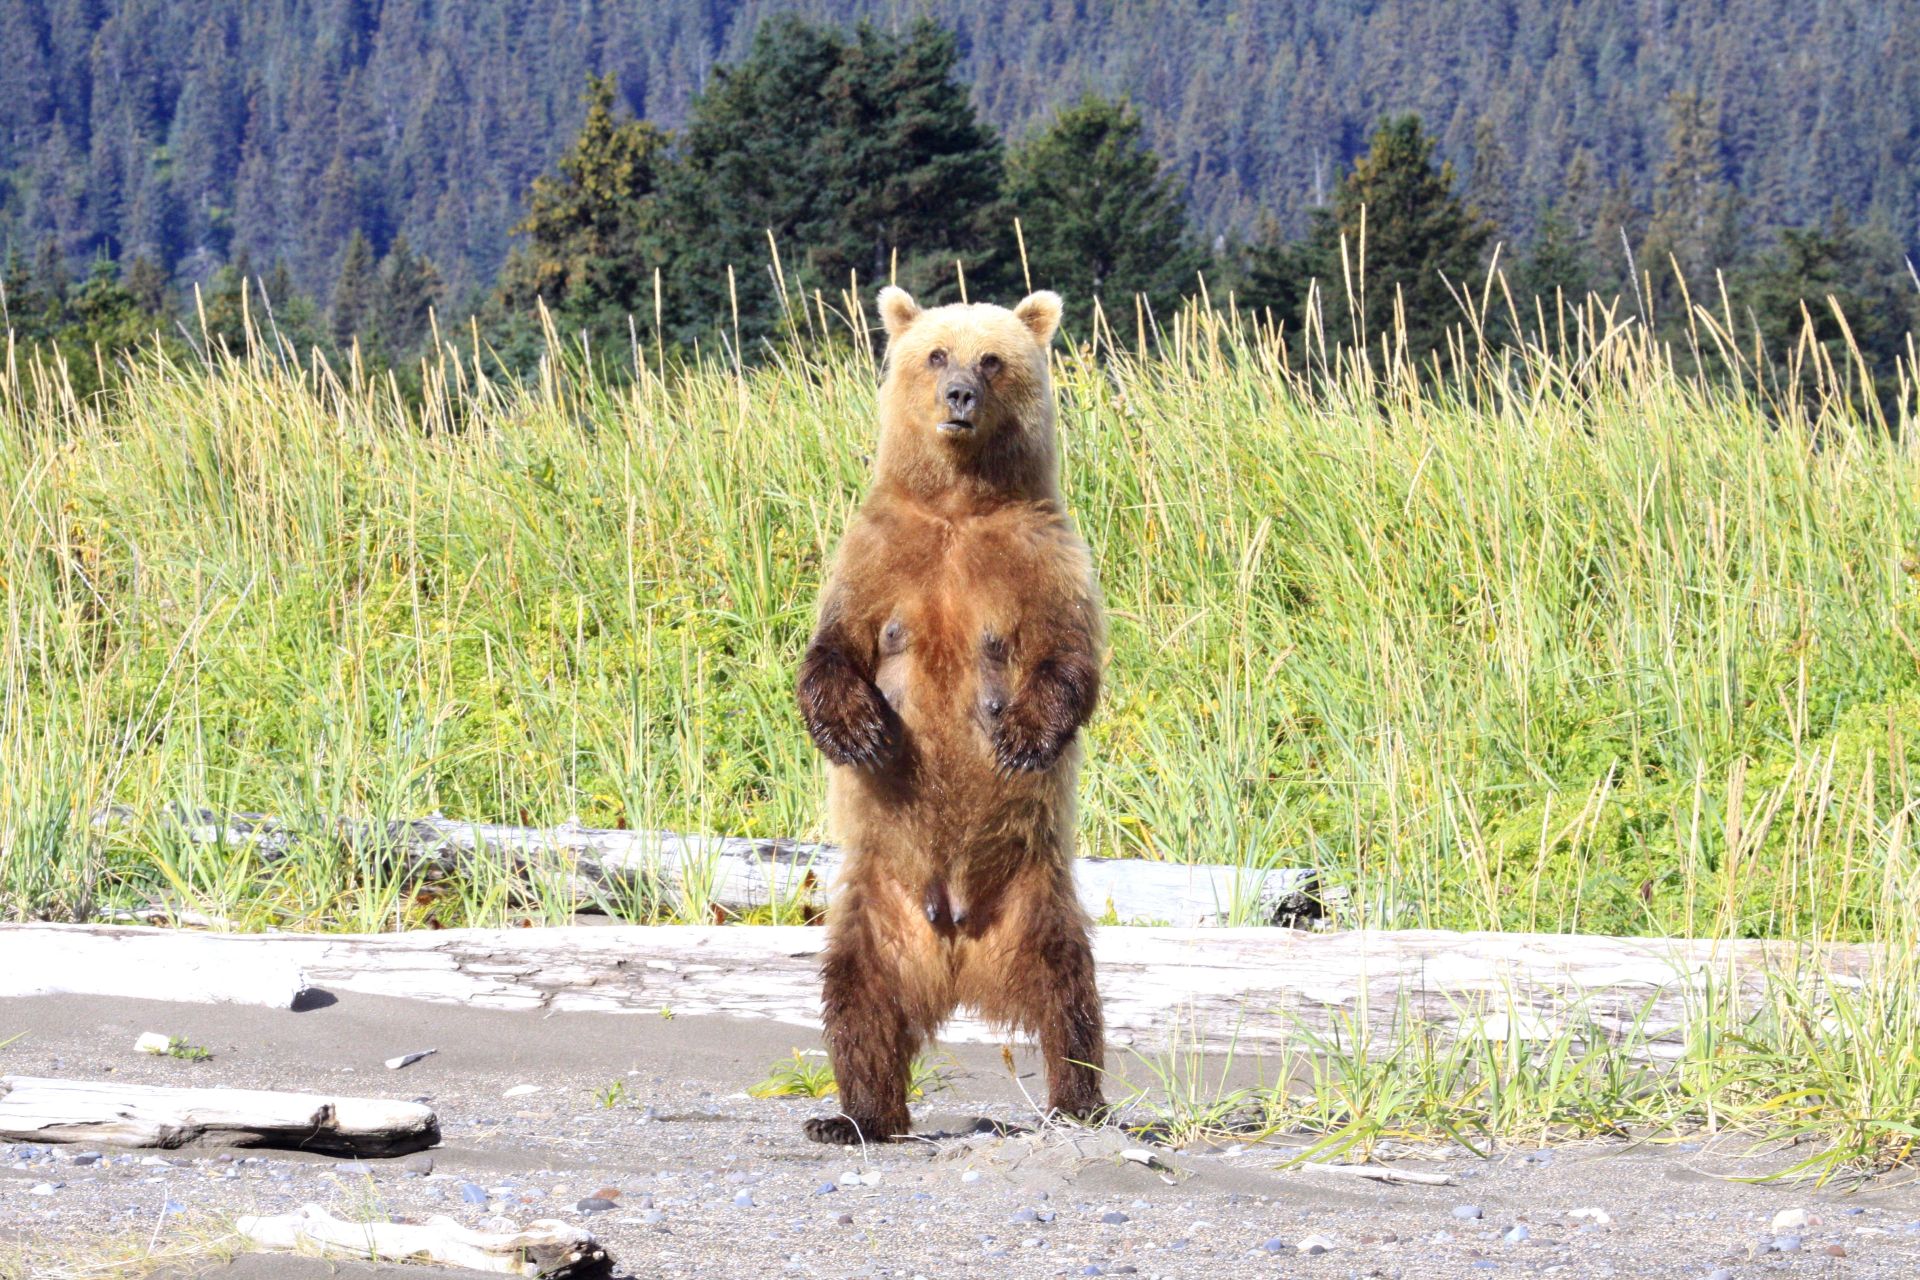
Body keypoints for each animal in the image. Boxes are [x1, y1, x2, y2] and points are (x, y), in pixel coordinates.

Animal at [794, 285, 1105, 1143]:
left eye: (991, 358)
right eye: (936, 353)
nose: (960, 395)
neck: (959, 507)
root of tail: (961, 947)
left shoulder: (1043, 558)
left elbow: (1069, 661)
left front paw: (1022, 738)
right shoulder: (877, 557)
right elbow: (833, 651)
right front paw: (860, 731)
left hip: (1037, 896)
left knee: (1072, 995)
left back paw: (1081, 1101)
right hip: (878, 909)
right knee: (858, 999)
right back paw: (857, 1115)